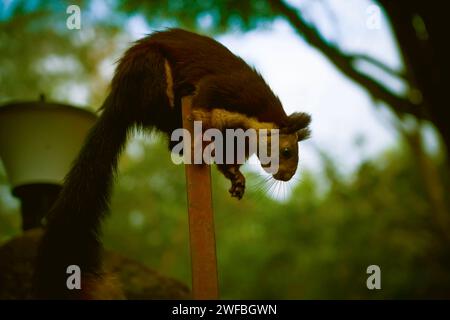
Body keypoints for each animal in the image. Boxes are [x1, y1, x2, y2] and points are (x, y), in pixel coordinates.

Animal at [33, 28, 312, 298]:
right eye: (287, 151)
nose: (286, 176)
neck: (254, 122)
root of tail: (117, 102)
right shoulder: (226, 90)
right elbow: (205, 101)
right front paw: (203, 128)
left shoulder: (235, 136)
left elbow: (227, 159)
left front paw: (237, 180)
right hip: (153, 73)